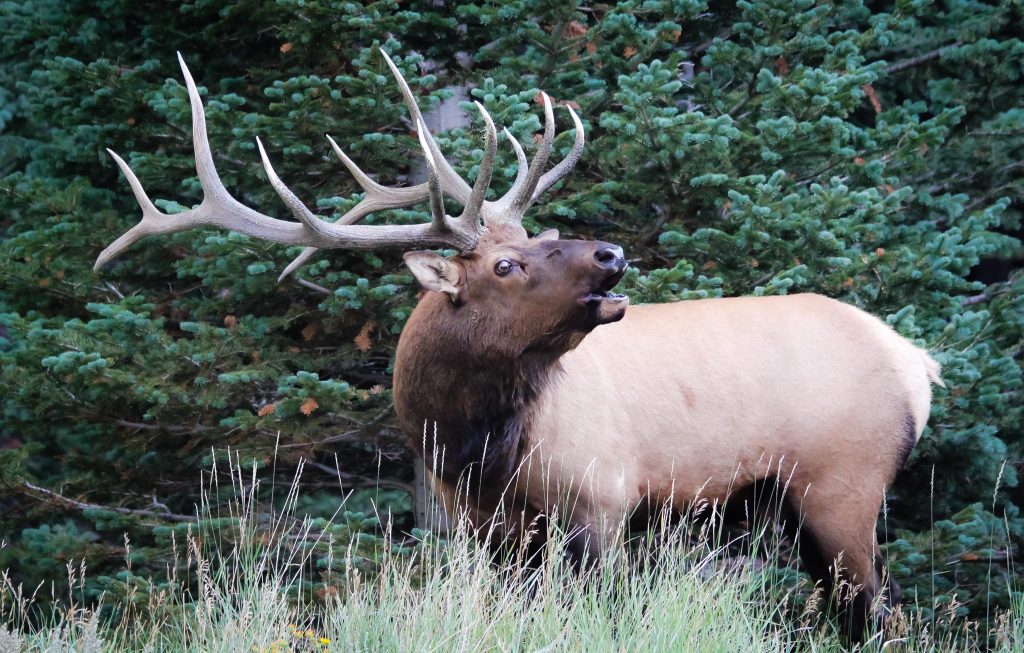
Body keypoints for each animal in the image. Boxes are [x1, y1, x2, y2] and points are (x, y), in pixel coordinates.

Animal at [97, 49, 942, 638]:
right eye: (509, 261)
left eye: (536, 234)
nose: (610, 252)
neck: (476, 441)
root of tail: (917, 363)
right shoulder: (484, 526)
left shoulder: (603, 497)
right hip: (798, 501)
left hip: (844, 481)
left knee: (876, 607)